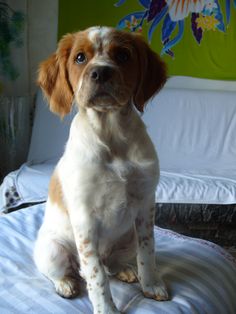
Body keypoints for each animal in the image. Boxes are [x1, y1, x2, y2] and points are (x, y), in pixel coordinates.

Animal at [34, 26, 169, 314]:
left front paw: (151, 285)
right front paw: (106, 308)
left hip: (128, 237)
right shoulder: (84, 218)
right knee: (70, 271)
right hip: (53, 250)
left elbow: (148, 252)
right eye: (80, 58)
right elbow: (96, 277)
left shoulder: (145, 205)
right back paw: (65, 283)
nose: (101, 72)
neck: (111, 135)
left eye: (123, 55)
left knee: (109, 265)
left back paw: (125, 270)